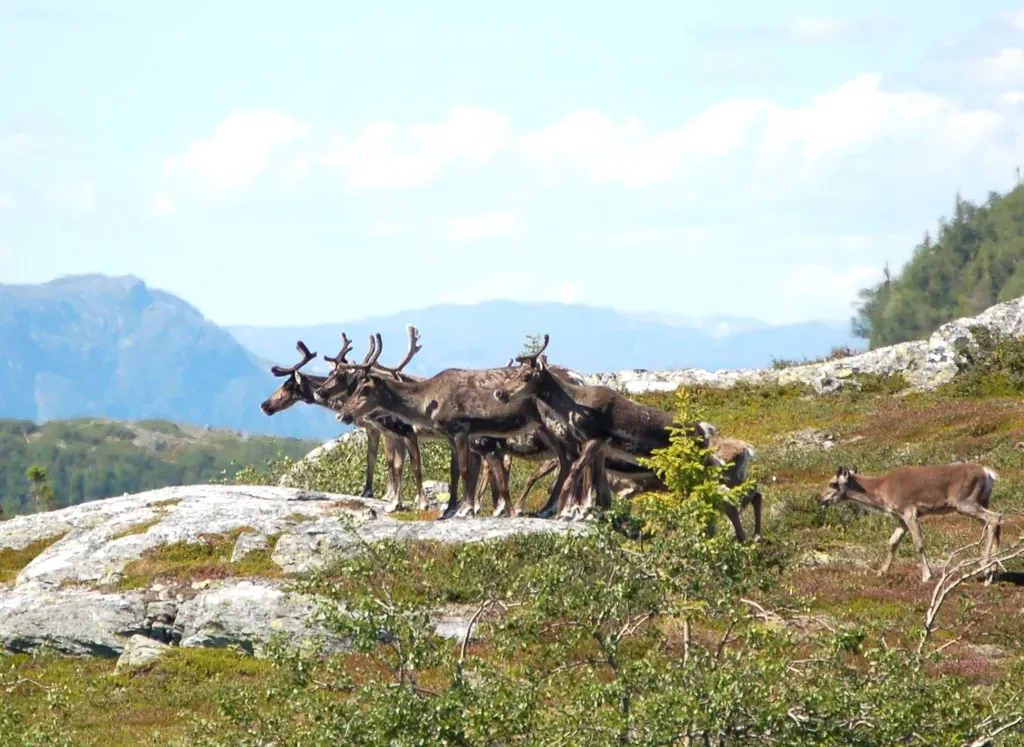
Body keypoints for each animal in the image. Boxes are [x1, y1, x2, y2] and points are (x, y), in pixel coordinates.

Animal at [317, 332, 573, 521]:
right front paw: (450, 509)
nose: (342, 414)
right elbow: (453, 471)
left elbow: (461, 469)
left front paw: (463, 509)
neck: (427, 401)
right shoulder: (449, 435)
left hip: (553, 427)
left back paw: (553, 508)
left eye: (365, 389)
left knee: (567, 459)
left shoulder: (458, 430)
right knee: (564, 460)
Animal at [816, 464, 1003, 583]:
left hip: (965, 503)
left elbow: (918, 543)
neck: (880, 490)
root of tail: (988, 473)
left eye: (833, 483)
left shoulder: (909, 512)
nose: (818, 498)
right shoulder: (901, 518)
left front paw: (927, 575)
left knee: (994, 518)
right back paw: (993, 569)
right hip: (980, 501)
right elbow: (892, 542)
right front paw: (881, 572)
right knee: (996, 520)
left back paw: (985, 567)